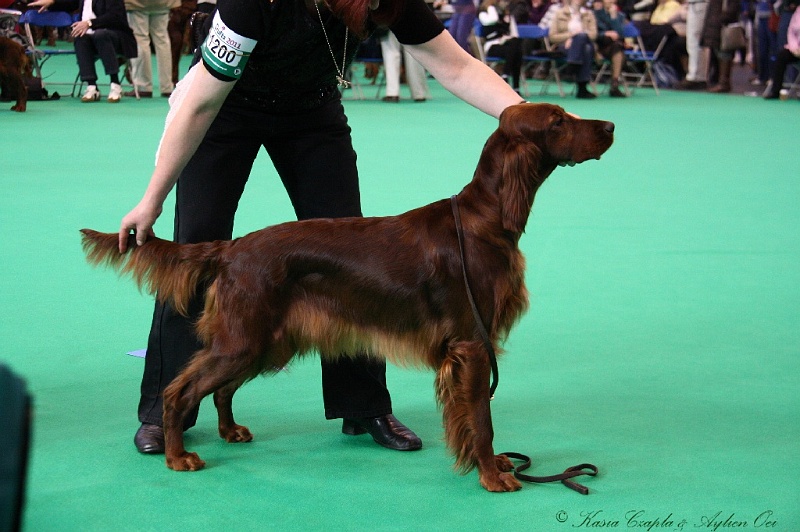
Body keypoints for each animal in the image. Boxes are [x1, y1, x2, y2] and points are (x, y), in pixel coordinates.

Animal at [81, 102, 612, 492]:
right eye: (558, 121)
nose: (609, 125)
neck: (485, 218)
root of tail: (232, 248)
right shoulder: (471, 344)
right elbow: (481, 418)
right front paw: (493, 475)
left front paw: (497, 463)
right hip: (244, 338)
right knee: (179, 390)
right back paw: (177, 456)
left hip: (265, 341)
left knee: (223, 389)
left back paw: (231, 432)